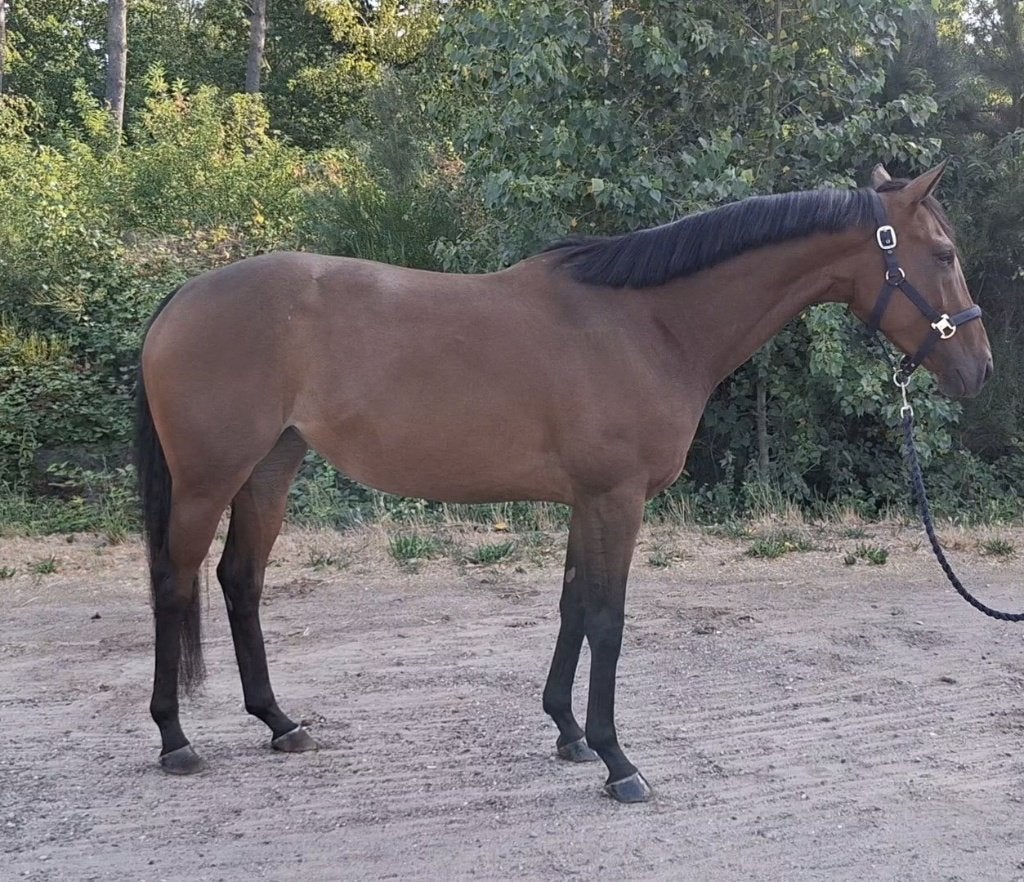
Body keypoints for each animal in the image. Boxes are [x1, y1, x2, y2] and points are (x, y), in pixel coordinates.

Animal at [136, 161, 992, 802]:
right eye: (944, 254)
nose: (979, 369)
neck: (647, 325)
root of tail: (181, 296)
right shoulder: (616, 499)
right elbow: (608, 619)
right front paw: (619, 762)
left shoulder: (589, 501)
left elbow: (573, 606)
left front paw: (569, 733)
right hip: (209, 478)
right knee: (175, 583)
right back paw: (176, 740)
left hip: (270, 468)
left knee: (240, 581)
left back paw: (280, 723)